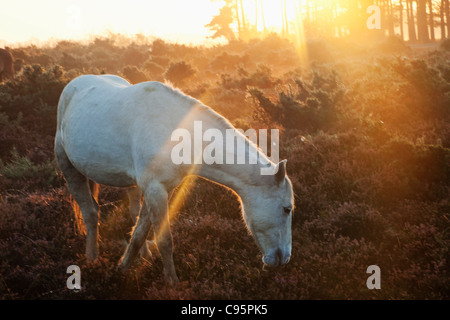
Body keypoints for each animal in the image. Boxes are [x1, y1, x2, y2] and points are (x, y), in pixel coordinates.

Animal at [54, 74, 294, 282]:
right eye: (287, 209)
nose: (283, 258)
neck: (178, 133)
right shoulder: (155, 189)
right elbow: (165, 239)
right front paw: (172, 283)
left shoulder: (161, 190)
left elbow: (140, 232)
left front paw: (123, 268)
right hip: (69, 167)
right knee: (90, 213)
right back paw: (92, 258)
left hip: (130, 184)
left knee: (130, 212)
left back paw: (141, 255)